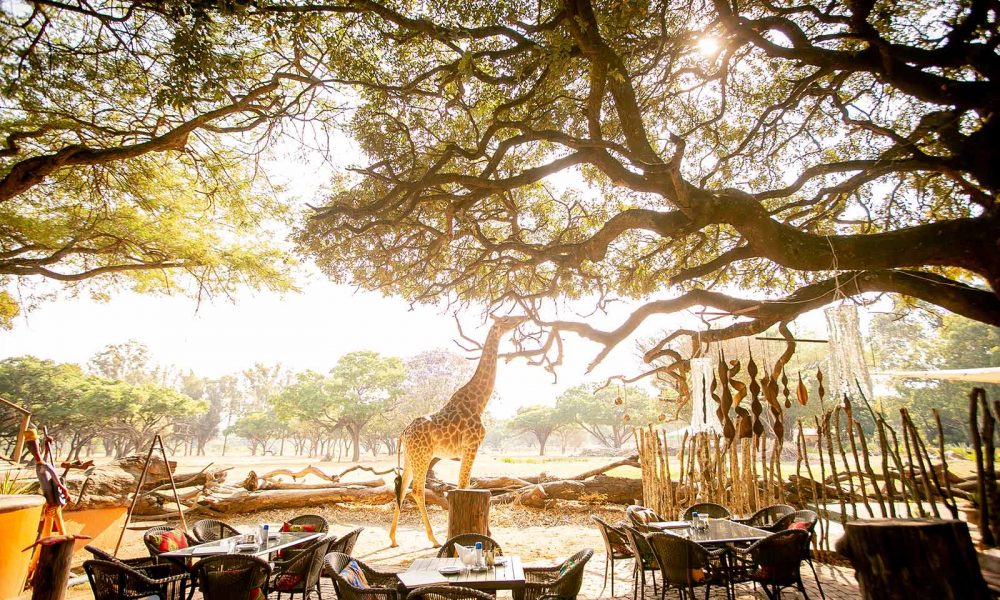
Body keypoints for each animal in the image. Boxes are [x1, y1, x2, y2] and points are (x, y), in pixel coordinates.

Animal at [389, 314, 527, 547]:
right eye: (507, 318)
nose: (522, 318)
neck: (479, 402)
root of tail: (403, 433)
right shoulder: (471, 446)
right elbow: (464, 484)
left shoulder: (469, 449)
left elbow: (467, 484)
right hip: (423, 456)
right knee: (417, 491)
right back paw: (433, 539)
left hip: (410, 457)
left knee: (403, 488)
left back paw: (393, 539)